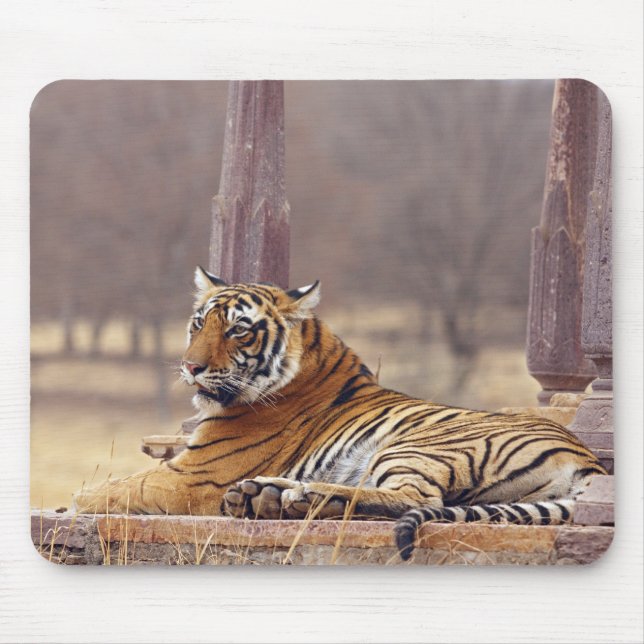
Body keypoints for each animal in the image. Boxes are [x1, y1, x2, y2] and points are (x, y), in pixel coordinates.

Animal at [73, 267, 606, 561]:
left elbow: (115, 488)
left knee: (405, 498)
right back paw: (267, 496)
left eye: (238, 330)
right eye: (199, 323)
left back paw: (297, 497)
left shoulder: (196, 476)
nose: (190, 366)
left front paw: (76, 503)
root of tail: (587, 460)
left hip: (418, 446)